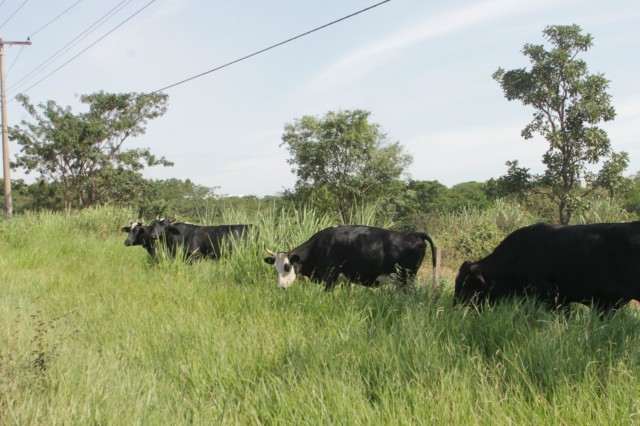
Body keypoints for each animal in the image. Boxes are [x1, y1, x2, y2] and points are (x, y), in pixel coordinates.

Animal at [262, 225, 438, 292]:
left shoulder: (330, 278)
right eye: (275, 269)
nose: (281, 287)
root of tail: (414, 234)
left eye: (287, 266)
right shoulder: (346, 280)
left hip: (406, 278)